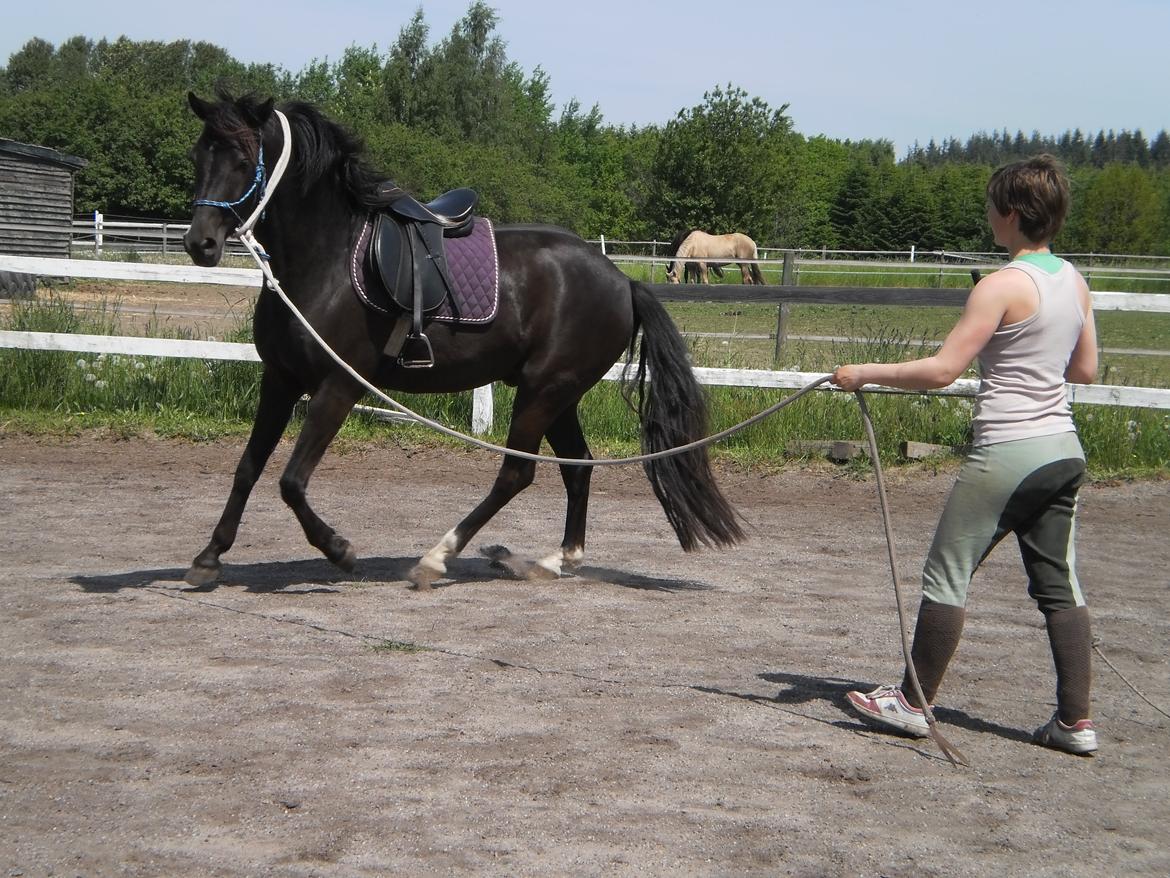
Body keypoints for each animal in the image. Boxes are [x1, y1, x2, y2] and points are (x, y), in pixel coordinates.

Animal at [180, 93, 748, 592]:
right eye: (198, 155)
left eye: (243, 158)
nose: (199, 243)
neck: (325, 263)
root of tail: (622, 280)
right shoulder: (279, 380)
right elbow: (248, 468)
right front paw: (209, 557)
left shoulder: (339, 387)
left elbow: (291, 481)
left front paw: (339, 549)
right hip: (558, 394)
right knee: (576, 467)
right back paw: (554, 561)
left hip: (544, 391)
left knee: (516, 474)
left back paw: (436, 559)